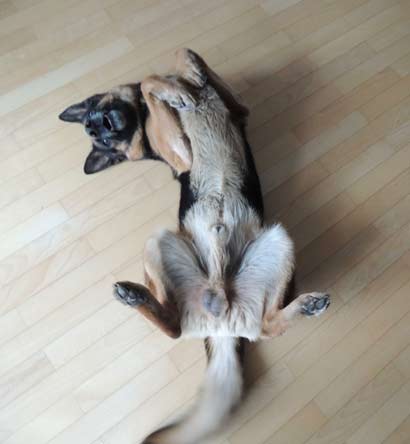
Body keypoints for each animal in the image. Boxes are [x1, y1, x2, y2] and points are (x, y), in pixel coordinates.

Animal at [59, 49, 330, 444]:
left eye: (96, 112)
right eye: (97, 133)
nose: (103, 124)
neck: (140, 116)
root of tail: (222, 325)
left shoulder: (240, 107)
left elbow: (183, 58)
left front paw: (188, 76)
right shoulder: (180, 153)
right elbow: (150, 82)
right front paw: (176, 92)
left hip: (279, 242)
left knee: (265, 325)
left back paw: (305, 306)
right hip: (158, 240)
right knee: (175, 327)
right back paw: (134, 296)